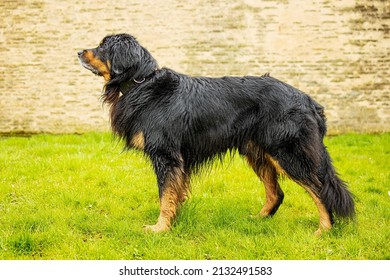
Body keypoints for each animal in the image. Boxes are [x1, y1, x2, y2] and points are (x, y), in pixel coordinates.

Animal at [77, 33, 354, 234]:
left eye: (103, 46)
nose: (79, 51)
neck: (142, 83)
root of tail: (309, 101)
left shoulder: (166, 155)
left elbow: (165, 195)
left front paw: (160, 228)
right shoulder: (180, 160)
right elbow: (175, 194)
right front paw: (175, 220)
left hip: (287, 152)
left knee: (320, 189)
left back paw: (324, 230)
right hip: (257, 151)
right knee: (277, 193)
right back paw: (257, 220)